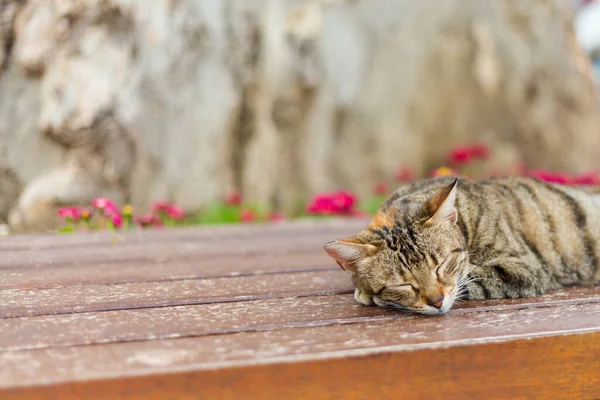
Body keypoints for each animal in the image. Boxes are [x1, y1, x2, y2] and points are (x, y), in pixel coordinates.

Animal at [324, 177, 600, 314]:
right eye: (403, 284)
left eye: (441, 265)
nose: (436, 302)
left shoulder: (523, 267)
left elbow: (470, 279)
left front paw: (368, 295)